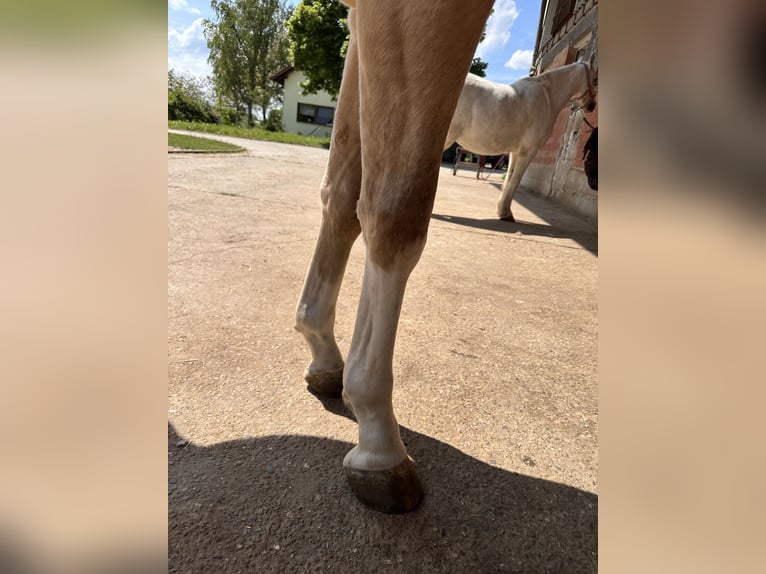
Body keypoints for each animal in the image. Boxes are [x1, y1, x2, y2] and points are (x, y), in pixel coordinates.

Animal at [444, 58, 598, 222]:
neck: (548, 97)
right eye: (595, 79)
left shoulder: (515, 152)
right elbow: (516, 180)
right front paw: (506, 213)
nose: (592, 106)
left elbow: (509, 178)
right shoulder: (529, 151)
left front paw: (503, 211)